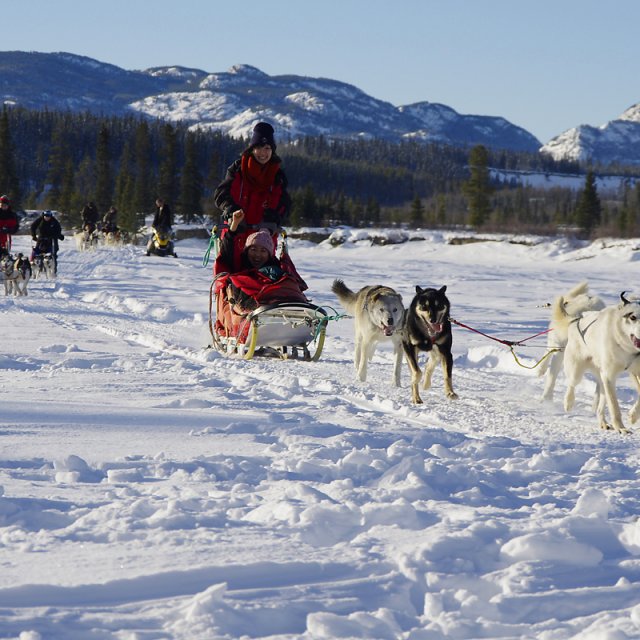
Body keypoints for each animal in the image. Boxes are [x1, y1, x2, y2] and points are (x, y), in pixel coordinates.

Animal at [564, 292, 640, 436]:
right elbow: (614, 407)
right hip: (577, 369)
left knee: (601, 405)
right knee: (571, 384)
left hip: (602, 379)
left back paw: (603, 423)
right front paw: (621, 427)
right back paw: (568, 403)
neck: (626, 349)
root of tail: (579, 320)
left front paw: (633, 416)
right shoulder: (609, 376)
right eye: (633, 317)